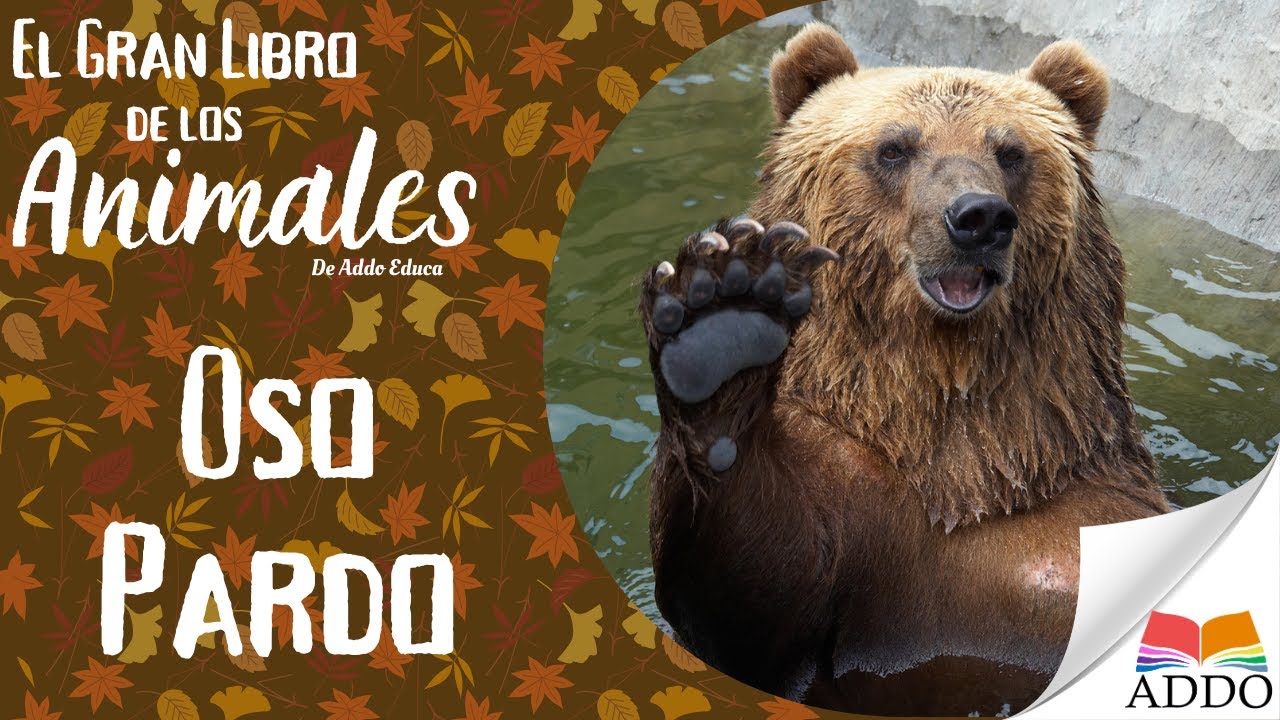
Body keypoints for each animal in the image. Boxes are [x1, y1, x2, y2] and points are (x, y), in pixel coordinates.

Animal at [638, 23, 1170, 717]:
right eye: (894, 147)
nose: (978, 217)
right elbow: (747, 595)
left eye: (1010, 151)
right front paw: (720, 324)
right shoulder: (841, 490)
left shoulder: (1081, 528)